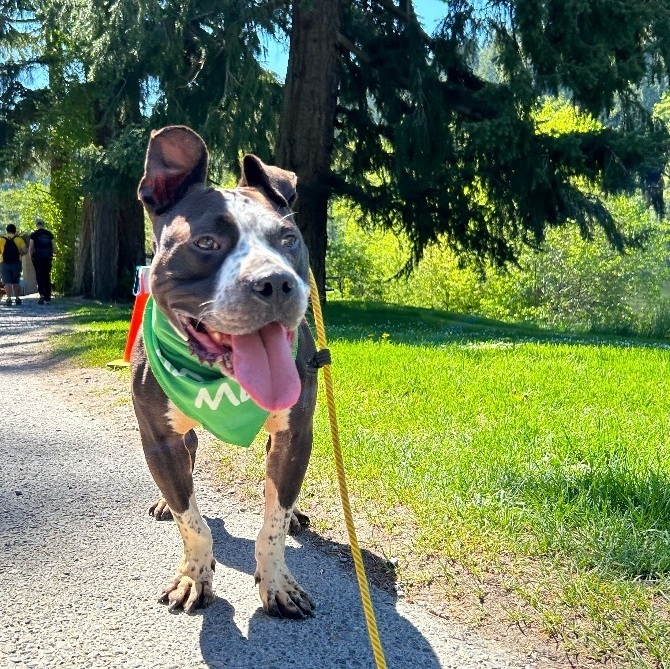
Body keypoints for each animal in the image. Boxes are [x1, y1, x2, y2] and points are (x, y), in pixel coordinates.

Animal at [133, 124, 320, 616]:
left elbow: (273, 520)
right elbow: (192, 520)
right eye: (205, 243)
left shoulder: (296, 434)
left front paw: (277, 581)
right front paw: (193, 575)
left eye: (288, 239)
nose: (275, 282)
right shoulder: (159, 438)